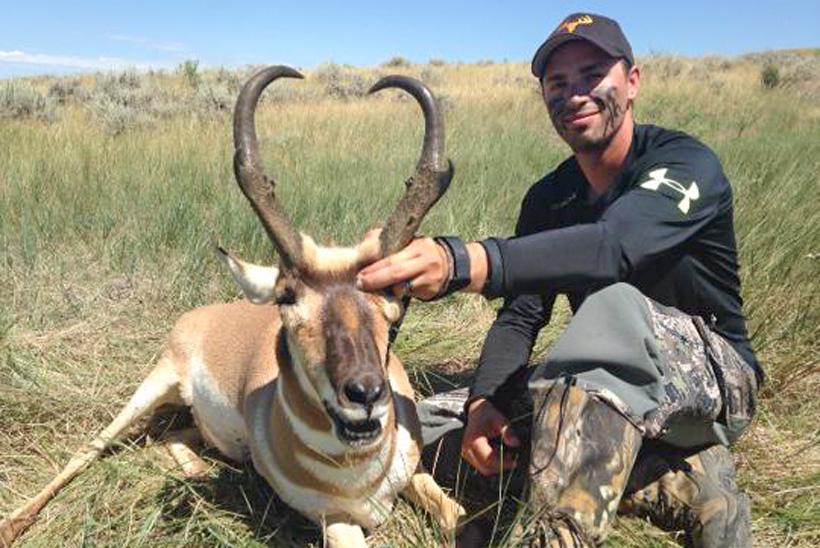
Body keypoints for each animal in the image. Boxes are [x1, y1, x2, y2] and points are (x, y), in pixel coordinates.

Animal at [0, 66, 464, 547]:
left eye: (397, 298)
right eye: (287, 298)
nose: (365, 395)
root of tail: (204, 314)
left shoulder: (416, 475)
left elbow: (457, 514)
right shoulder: (335, 521)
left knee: (172, 436)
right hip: (150, 389)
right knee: (91, 447)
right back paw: (13, 522)